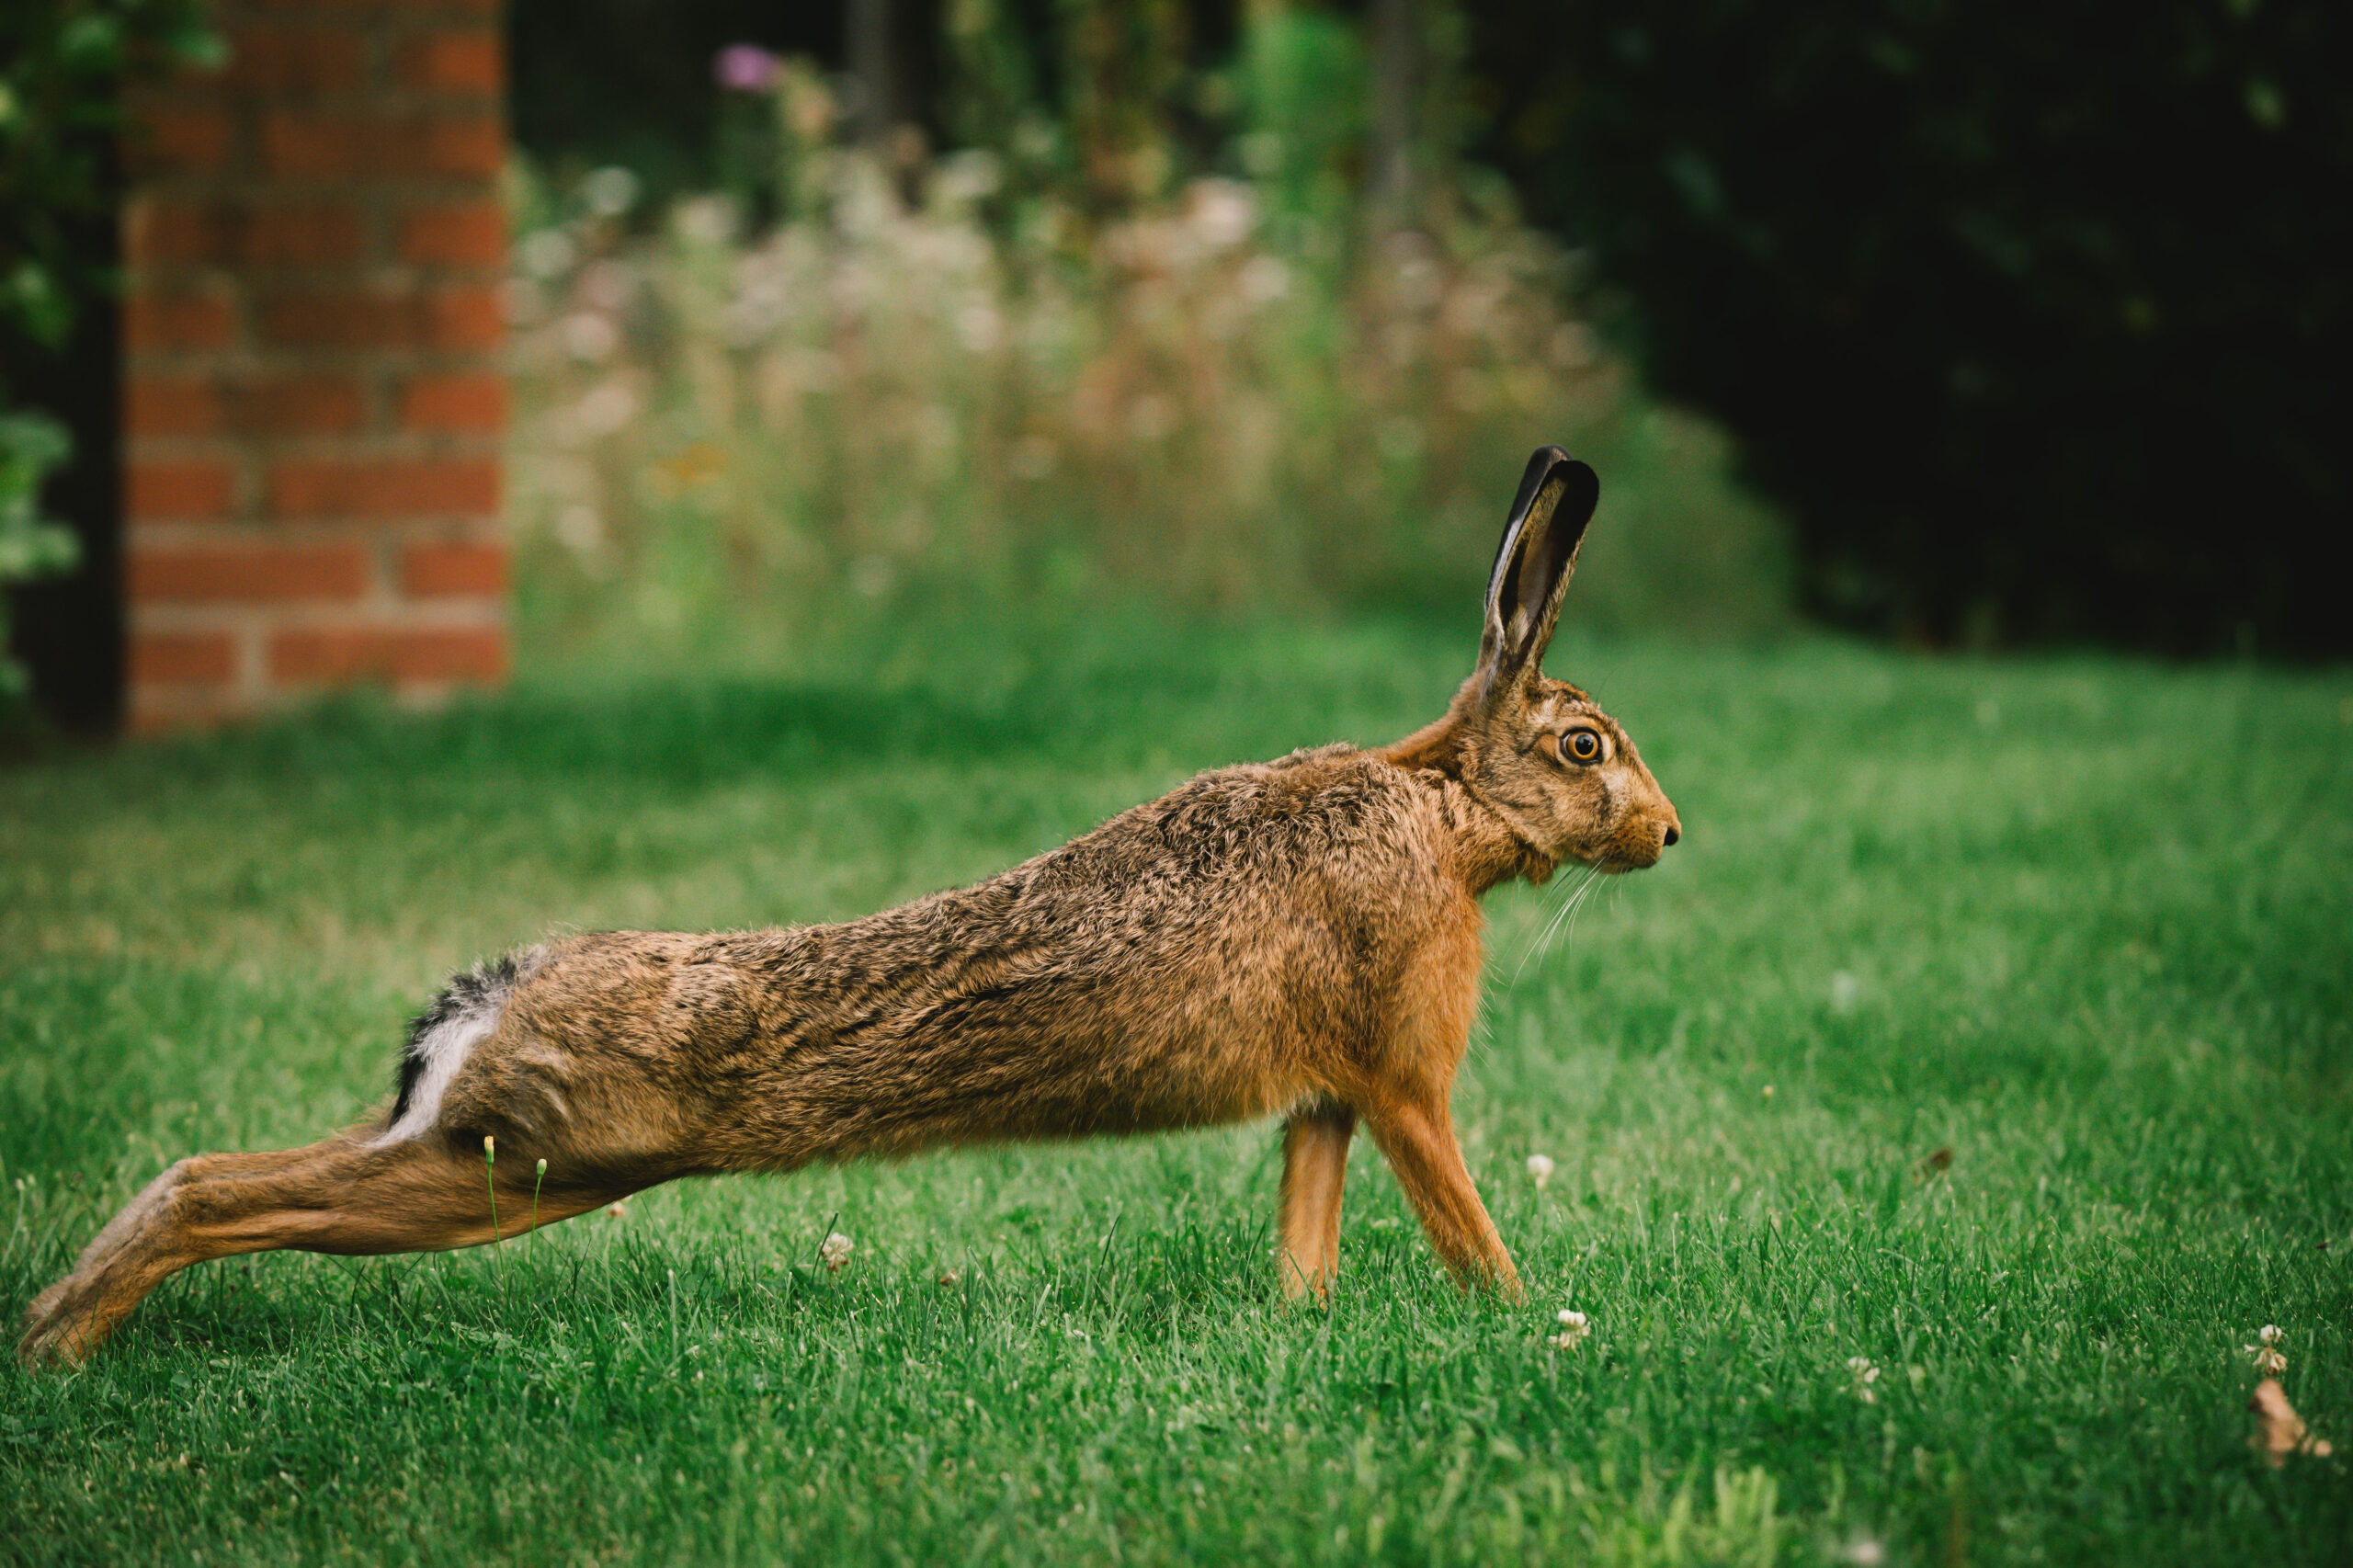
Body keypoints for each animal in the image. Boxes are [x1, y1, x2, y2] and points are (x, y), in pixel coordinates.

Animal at [19, 446, 1680, 1365]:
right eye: (1584, 747)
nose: (1669, 831)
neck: (1444, 812)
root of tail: (490, 999)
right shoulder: (1403, 1081)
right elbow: (1460, 1211)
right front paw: (1530, 1319)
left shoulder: (1328, 1100)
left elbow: (1306, 1220)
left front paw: (1302, 1324)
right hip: (519, 1163)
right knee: (214, 1189)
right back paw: (65, 1343)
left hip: (492, 1159)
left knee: (221, 1171)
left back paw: (54, 1325)